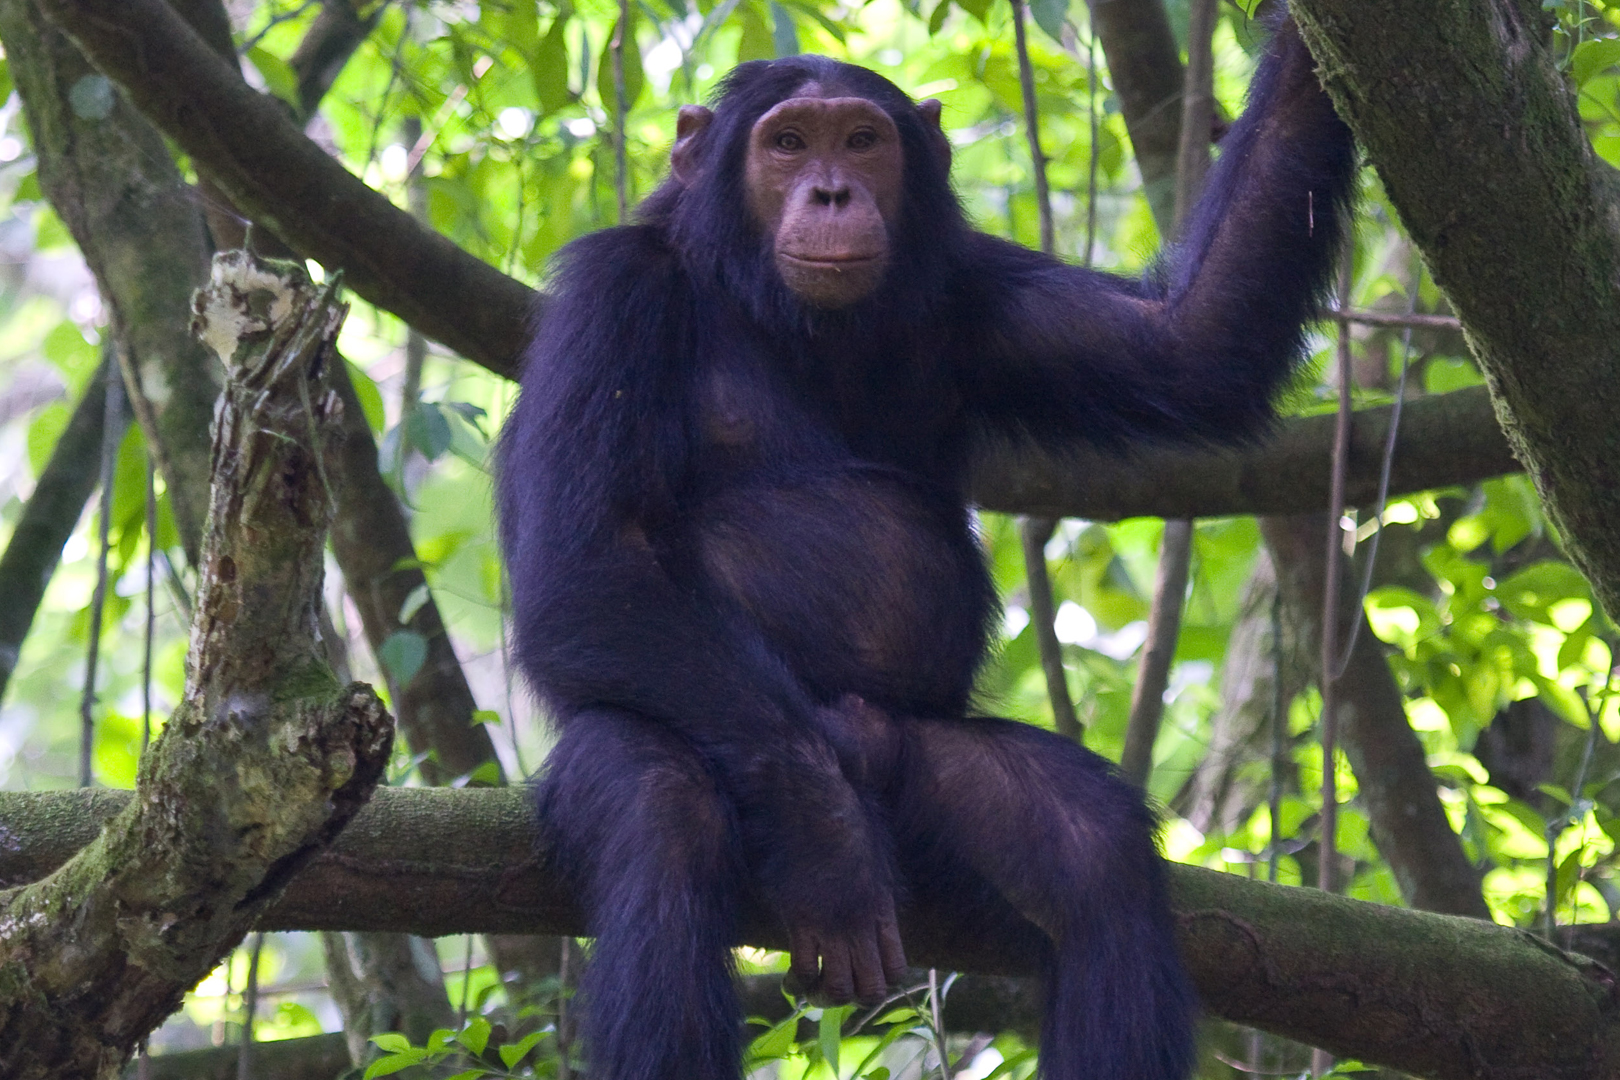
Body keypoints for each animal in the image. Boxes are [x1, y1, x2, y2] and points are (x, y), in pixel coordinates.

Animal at [498, 16, 1360, 1080]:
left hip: (918, 758)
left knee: (1093, 855)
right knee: (663, 811)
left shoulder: (978, 288)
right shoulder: (610, 296)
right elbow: (585, 567)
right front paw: (828, 849)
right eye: (789, 144)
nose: (832, 191)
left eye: (863, 141)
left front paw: (1314, 45)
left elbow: (1190, 345)